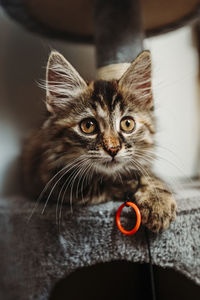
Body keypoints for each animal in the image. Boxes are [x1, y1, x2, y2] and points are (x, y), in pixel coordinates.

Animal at [23, 49, 177, 232]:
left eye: (127, 124)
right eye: (88, 126)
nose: (113, 149)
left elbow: (151, 177)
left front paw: (158, 203)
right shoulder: (49, 178)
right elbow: (100, 187)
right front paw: (129, 185)